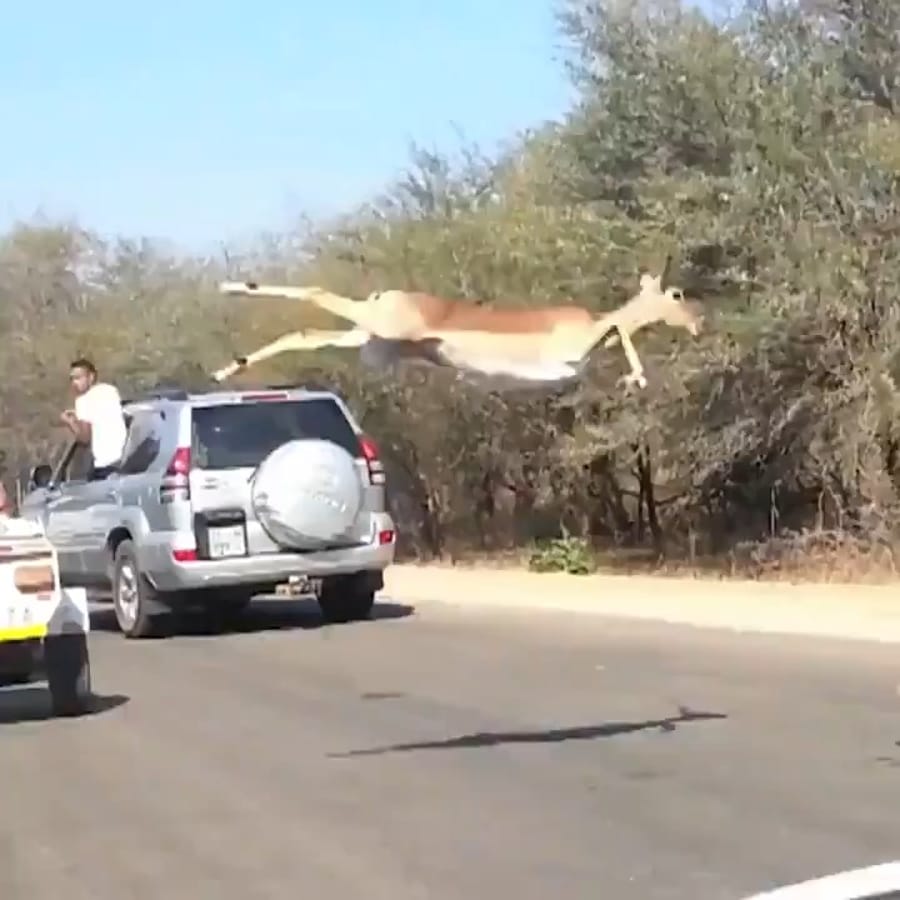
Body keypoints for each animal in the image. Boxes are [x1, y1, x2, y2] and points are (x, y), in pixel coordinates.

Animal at [211, 261, 703, 390]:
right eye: (677, 294)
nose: (699, 322)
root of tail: (386, 295)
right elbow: (621, 330)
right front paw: (637, 378)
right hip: (377, 327)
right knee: (315, 292)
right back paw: (227, 288)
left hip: (368, 339)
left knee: (304, 333)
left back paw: (224, 368)